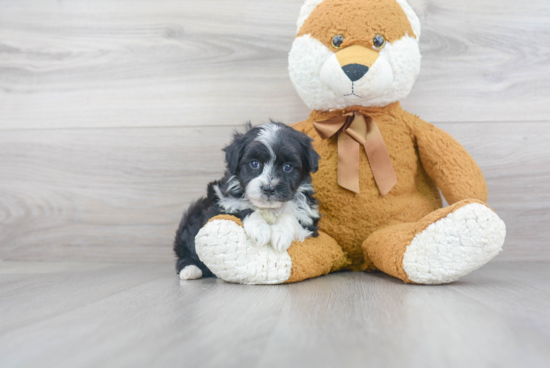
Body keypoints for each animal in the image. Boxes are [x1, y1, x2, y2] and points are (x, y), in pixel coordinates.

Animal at [174, 121, 324, 278]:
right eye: (254, 164)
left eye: (287, 167)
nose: (269, 188)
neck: (268, 208)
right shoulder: (220, 204)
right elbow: (242, 209)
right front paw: (260, 230)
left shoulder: (309, 218)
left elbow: (292, 216)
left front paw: (280, 234)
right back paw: (190, 270)